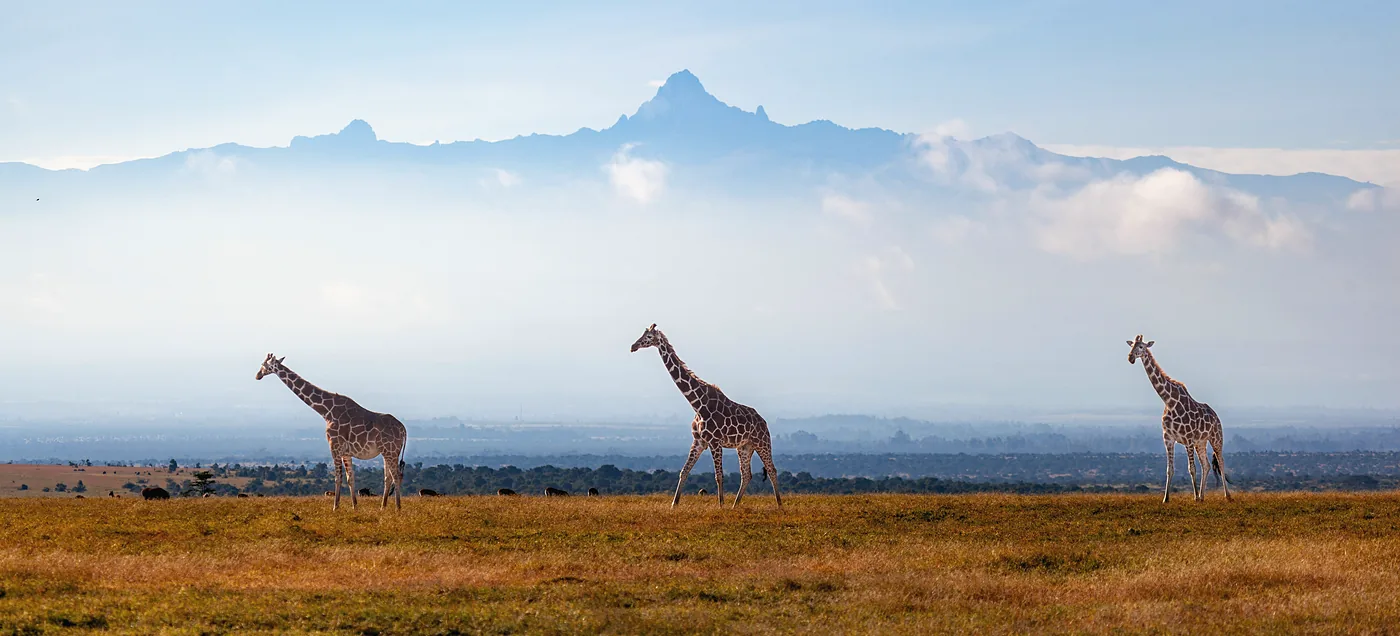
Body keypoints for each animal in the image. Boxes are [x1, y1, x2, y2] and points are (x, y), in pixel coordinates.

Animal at [255, 354, 407, 510]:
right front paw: (355, 507)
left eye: (264, 365)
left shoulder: (334, 446)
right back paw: (383, 507)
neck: (326, 411)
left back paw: (398, 508)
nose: (257, 375)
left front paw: (335, 507)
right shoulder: (346, 452)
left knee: (396, 476)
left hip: (390, 451)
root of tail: (403, 429)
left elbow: (337, 477)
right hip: (387, 452)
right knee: (388, 477)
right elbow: (350, 478)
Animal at [630, 324, 782, 509]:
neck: (697, 404)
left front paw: (721, 505)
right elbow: (684, 471)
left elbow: (719, 476)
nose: (633, 346)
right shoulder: (699, 441)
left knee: (772, 470)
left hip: (762, 443)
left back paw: (779, 505)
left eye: (649, 337)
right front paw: (674, 504)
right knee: (746, 475)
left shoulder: (714, 442)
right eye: (643, 334)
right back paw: (735, 505)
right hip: (744, 447)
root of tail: (764, 421)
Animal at [1126, 336, 1231, 503]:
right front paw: (1166, 499)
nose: (1130, 358)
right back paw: (1202, 496)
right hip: (1201, 442)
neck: (1169, 401)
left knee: (1220, 462)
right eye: (1131, 346)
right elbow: (1170, 470)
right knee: (1207, 465)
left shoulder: (1187, 439)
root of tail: (1216, 416)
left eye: (1141, 346)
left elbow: (1191, 469)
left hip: (1216, 437)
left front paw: (1194, 497)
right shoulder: (1168, 438)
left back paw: (1227, 495)